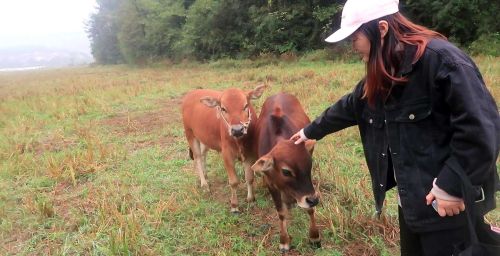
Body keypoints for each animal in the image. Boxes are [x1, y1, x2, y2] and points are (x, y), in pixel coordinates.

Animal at [182, 85, 268, 213]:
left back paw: (206, 174)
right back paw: (204, 184)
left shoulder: (249, 153)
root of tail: (191, 94)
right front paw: (234, 205)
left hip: (204, 138)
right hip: (190, 134)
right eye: (223, 108)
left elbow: (249, 178)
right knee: (197, 157)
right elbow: (233, 181)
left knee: (203, 154)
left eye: (245, 106)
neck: (239, 141)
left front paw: (251, 199)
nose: (237, 130)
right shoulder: (227, 154)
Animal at [250, 92, 320, 252]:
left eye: (309, 164)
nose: (313, 200)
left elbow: (310, 210)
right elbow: (281, 213)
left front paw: (314, 236)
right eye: (286, 172)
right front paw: (284, 241)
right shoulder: (270, 184)